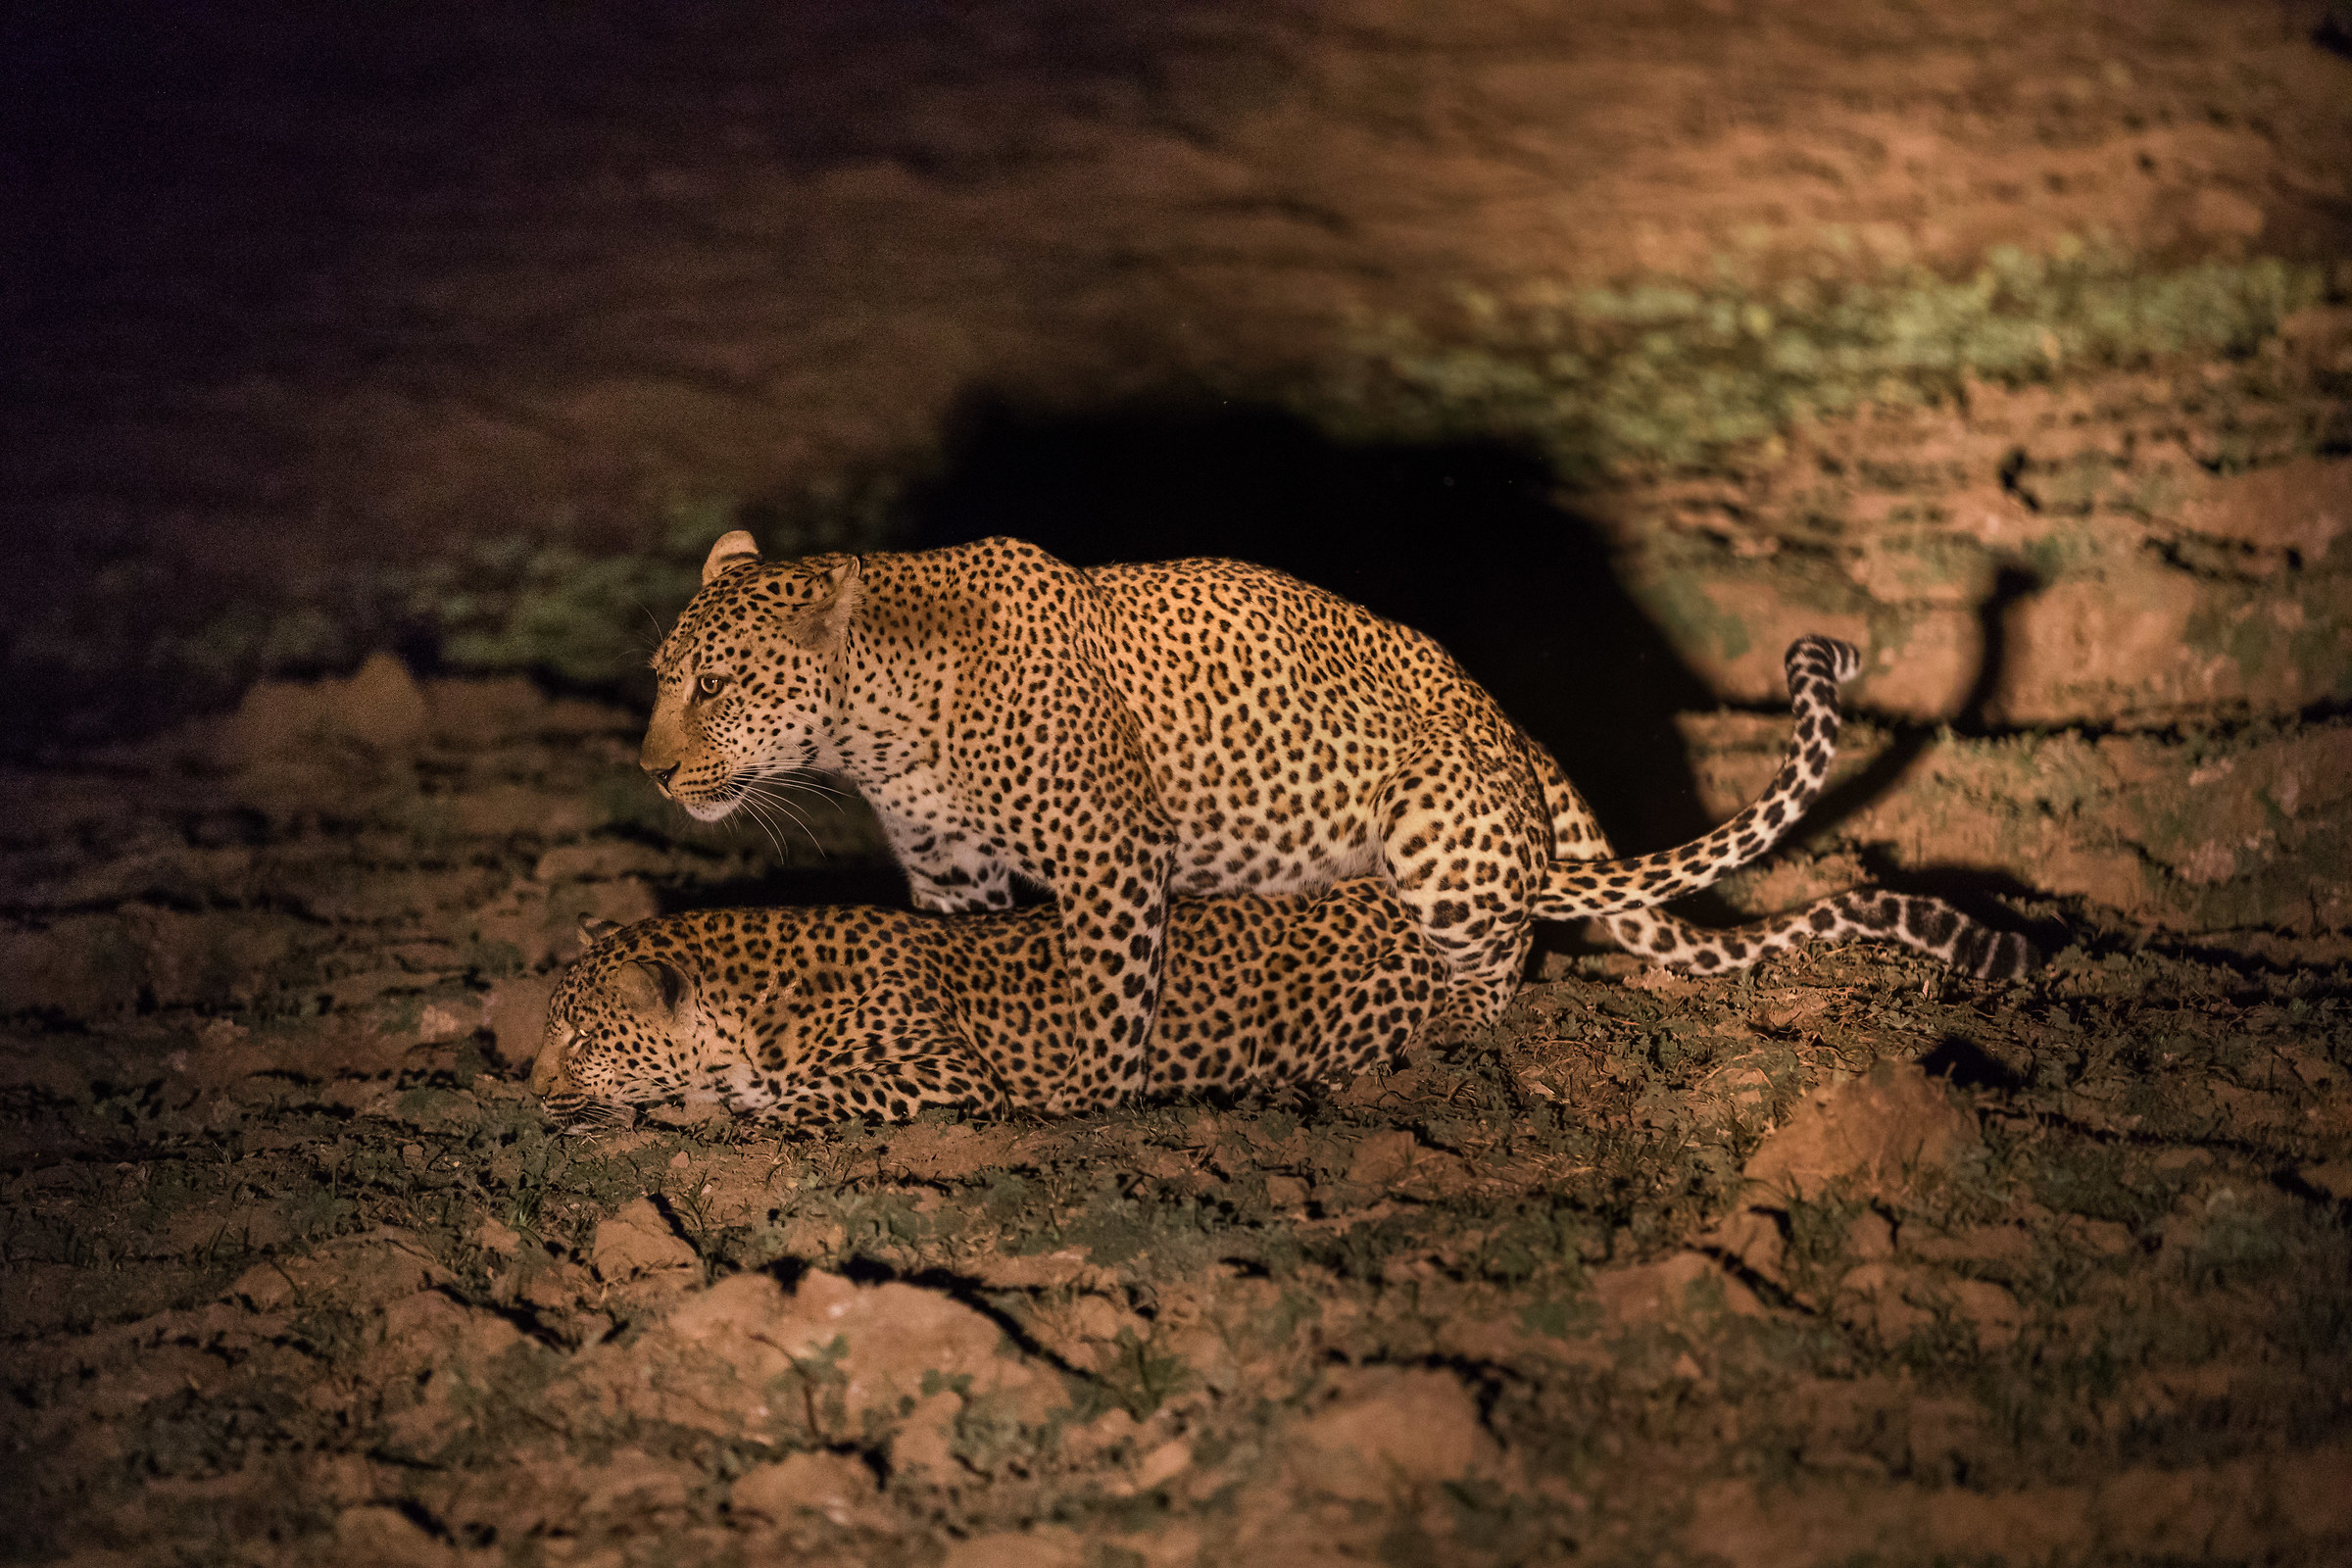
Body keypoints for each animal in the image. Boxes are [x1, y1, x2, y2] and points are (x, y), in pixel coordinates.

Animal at [639, 533, 2034, 1100]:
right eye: (662, 672)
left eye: (716, 684)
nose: (650, 771)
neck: (877, 729)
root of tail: (1521, 740)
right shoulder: (950, 875)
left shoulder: (1112, 858)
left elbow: (1108, 999)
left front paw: (1090, 1091)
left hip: (1432, 837)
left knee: (1500, 958)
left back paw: (1446, 1039)